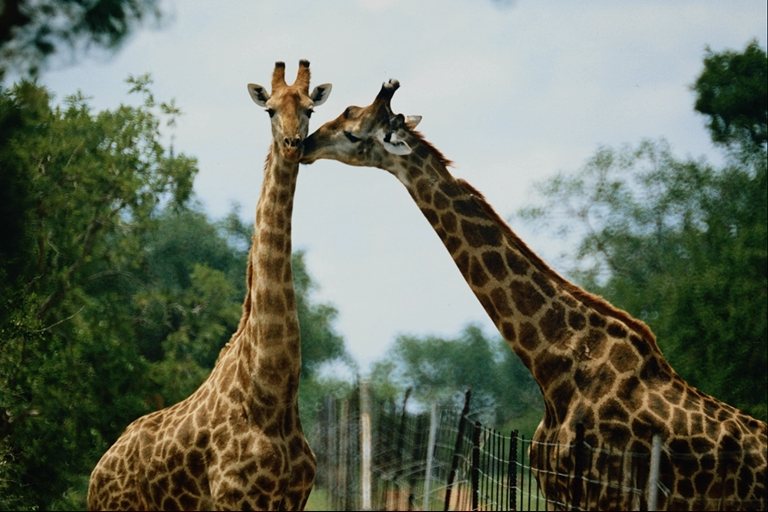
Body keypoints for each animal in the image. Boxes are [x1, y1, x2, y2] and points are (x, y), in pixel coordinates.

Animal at [86, 61, 330, 512]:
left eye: (309, 109)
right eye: (269, 110)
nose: (292, 145)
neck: (271, 399)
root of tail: (97, 474)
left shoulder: (293, 499)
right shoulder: (236, 500)